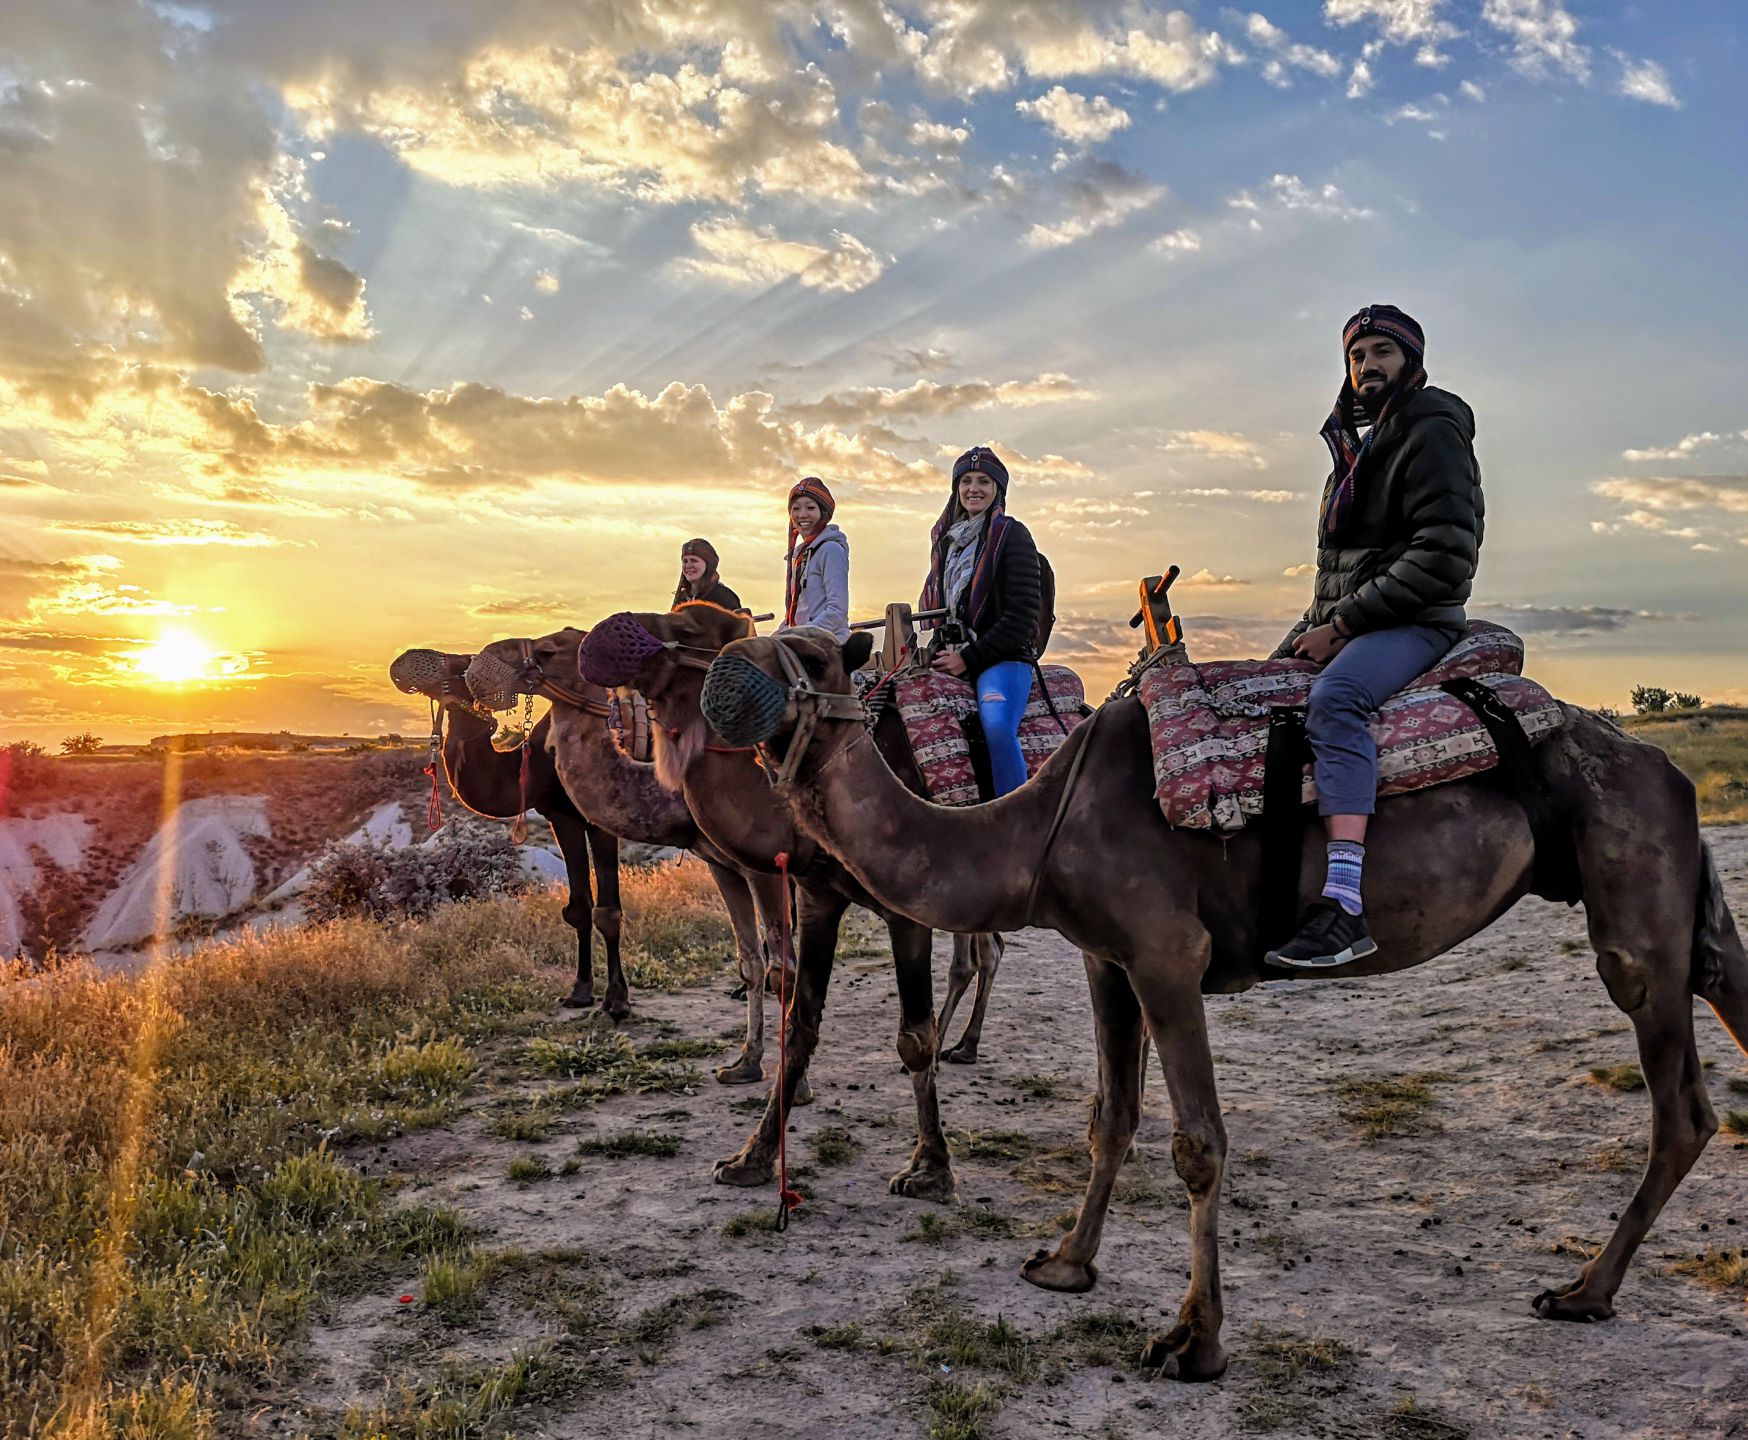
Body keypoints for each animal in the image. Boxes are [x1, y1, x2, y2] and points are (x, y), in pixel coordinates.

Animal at [393, 649, 790, 1085]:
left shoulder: (600, 822)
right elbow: (579, 908)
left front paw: (616, 1001)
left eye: (456, 663)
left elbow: (608, 911)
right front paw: (580, 991)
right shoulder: (561, 816)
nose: (406, 661)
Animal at [708, 622, 1748, 1382]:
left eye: (808, 655)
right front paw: (1066, 1264)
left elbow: (1198, 1146)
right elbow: (1110, 1119)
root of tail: (1667, 769)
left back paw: (1583, 1290)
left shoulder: (1169, 957)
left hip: (1633, 899)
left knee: (1680, 1102)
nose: (727, 668)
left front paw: (1193, 1341)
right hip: (1668, 894)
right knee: (1723, 999)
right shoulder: (1107, 959)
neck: (1036, 828)